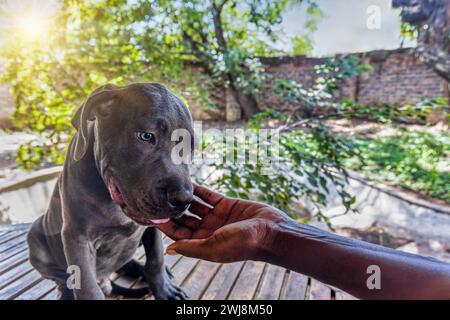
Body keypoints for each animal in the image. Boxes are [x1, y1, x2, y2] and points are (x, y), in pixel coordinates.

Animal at [26, 83, 193, 300]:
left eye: (190, 146)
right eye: (146, 136)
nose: (184, 199)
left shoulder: (154, 227)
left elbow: (156, 259)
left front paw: (164, 289)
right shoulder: (77, 237)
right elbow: (87, 288)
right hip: (36, 235)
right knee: (63, 280)